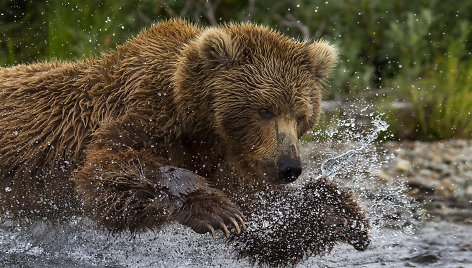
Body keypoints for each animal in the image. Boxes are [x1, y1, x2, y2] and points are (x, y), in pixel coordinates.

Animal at [0, 19, 368, 266]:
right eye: (264, 109)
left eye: (301, 115)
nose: (289, 167)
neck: (200, 125)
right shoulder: (145, 110)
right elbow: (108, 169)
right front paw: (216, 211)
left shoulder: (228, 160)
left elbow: (264, 218)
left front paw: (342, 215)